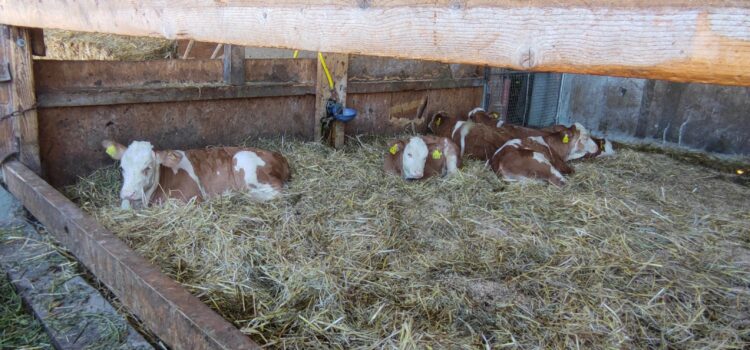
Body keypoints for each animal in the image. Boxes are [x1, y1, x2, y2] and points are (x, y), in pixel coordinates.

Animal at [104, 139, 292, 209]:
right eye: (122, 168)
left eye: (147, 168)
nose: (128, 193)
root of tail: (278, 155)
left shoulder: (191, 198)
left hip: (245, 162)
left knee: (278, 191)